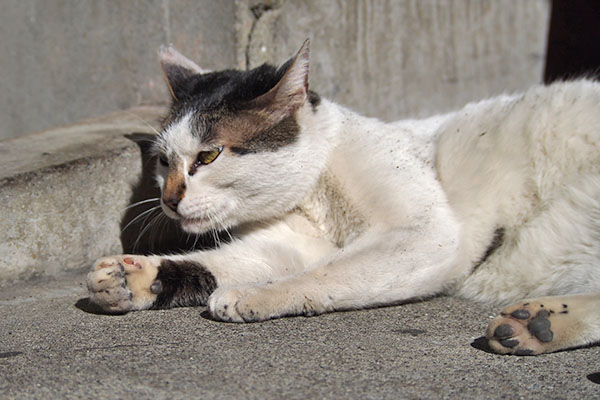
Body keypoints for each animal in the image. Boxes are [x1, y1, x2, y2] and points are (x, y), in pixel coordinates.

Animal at [86, 40, 600, 356]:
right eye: (163, 162)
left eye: (208, 155)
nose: (169, 200)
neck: (314, 195)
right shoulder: (286, 244)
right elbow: (218, 263)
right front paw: (132, 278)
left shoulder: (424, 234)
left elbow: (328, 272)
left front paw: (256, 294)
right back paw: (534, 325)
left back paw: (537, 324)